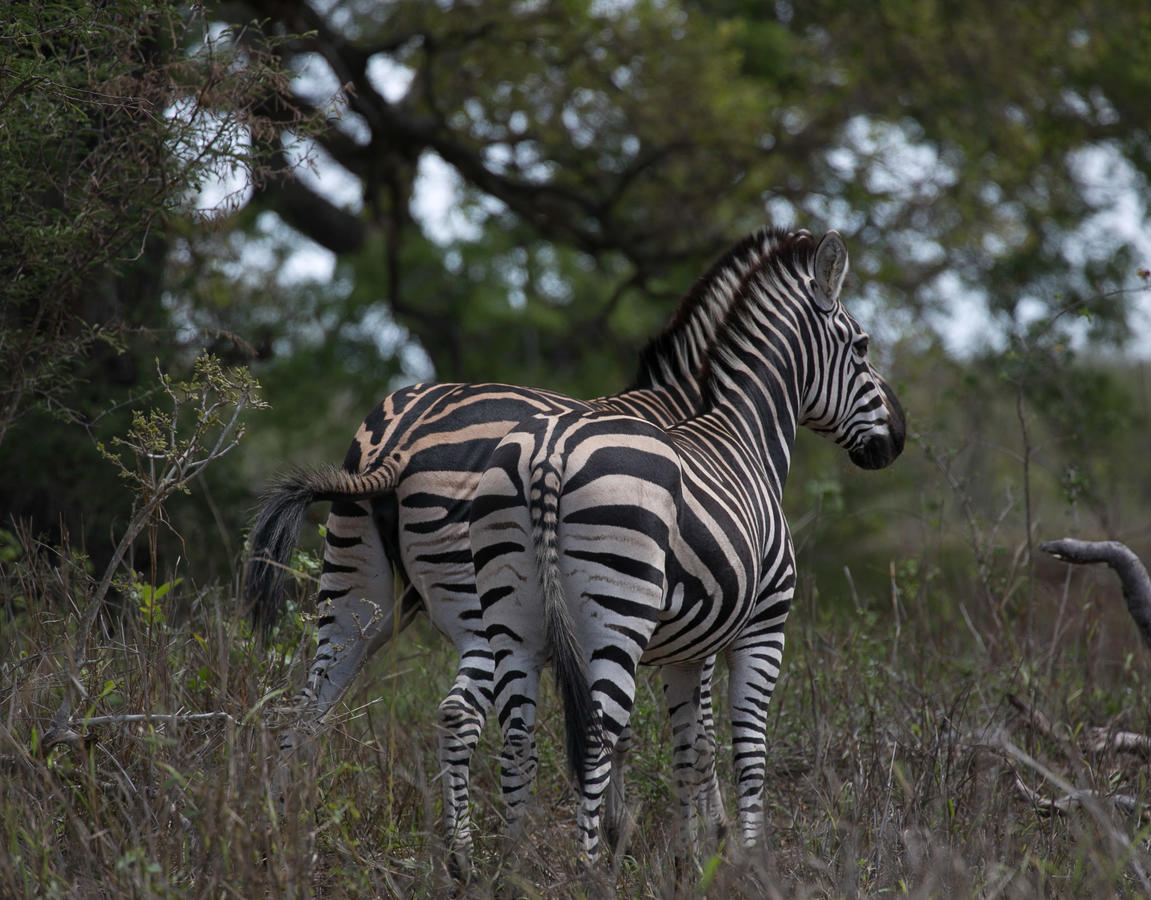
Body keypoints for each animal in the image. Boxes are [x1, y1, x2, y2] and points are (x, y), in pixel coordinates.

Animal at [240, 235, 782, 879]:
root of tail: (399, 440)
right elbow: (689, 730)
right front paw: (700, 842)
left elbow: (621, 729)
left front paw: (629, 834)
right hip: (479, 606)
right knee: (454, 713)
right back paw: (463, 859)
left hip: (360, 595)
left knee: (309, 708)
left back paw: (282, 840)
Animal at [469, 229, 906, 870]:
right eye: (863, 345)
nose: (898, 438)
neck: (744, 431)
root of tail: (549, 449)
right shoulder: (763, 625)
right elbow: (745, 744)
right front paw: (747, 857)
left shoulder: (684, 648)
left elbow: (690, 744)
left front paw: (693, 857)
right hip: (616, 615)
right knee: (595, 739)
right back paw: (587, 872)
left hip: (513, 617)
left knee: (518, 737)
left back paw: (513, 867)